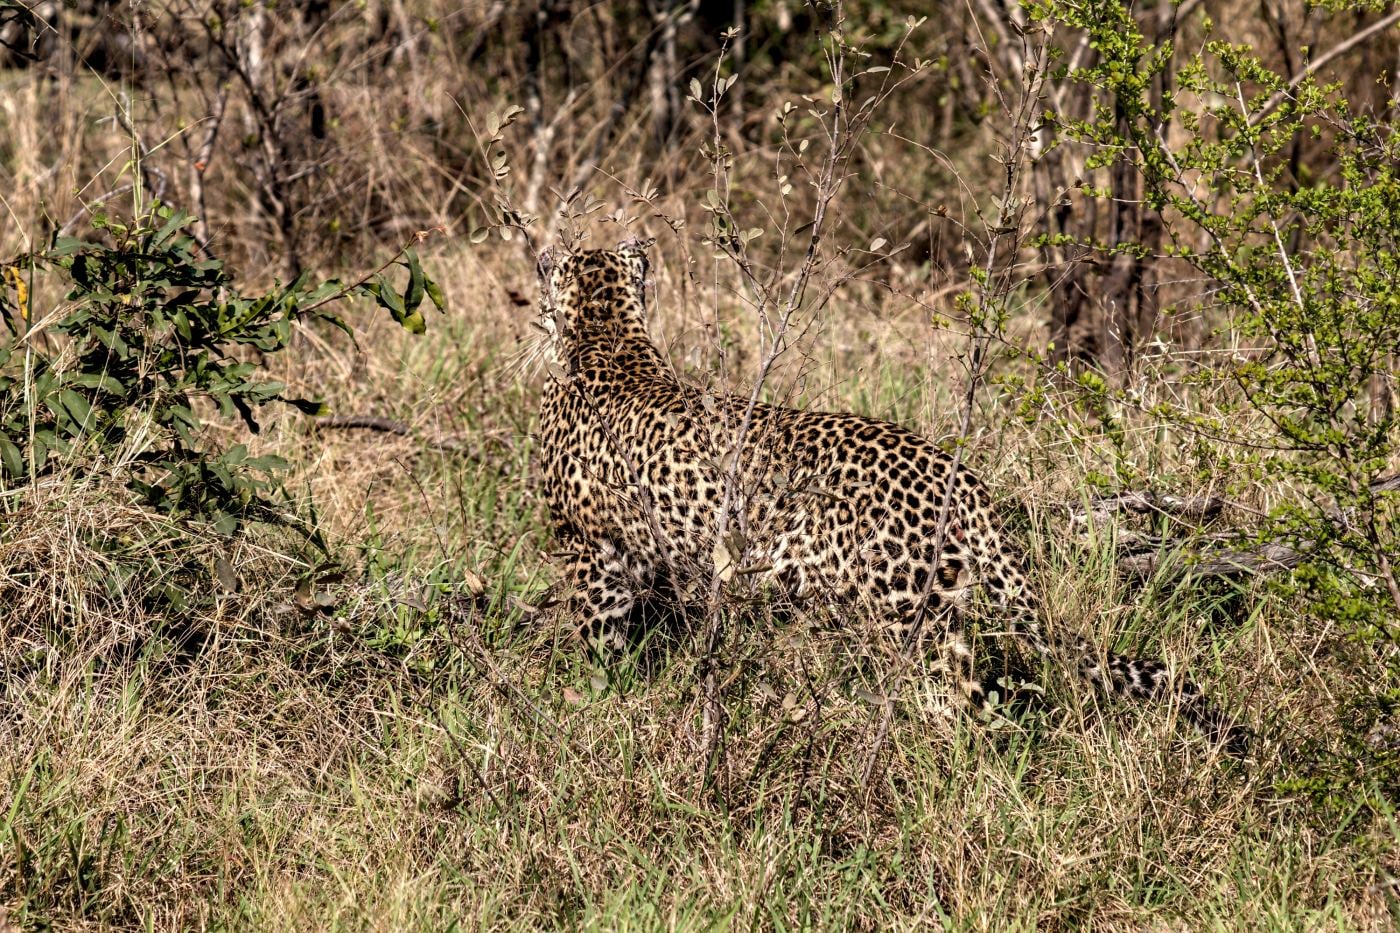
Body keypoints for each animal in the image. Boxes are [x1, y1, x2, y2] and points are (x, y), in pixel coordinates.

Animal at [533, 238, 1246, 752]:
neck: (607, 336)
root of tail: (954, 473)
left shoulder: (590, 551)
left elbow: (600, 640)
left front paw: (600, 696)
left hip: (905, 611)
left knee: (958, 704)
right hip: (947, 601)